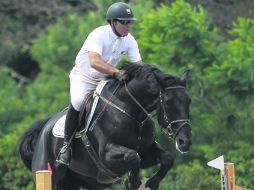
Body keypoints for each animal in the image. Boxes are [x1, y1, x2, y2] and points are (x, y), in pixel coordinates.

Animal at [18, 62, 191, 190]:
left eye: (188, 101)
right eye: (168, 102)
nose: (185, 142)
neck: (132, 111)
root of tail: (43, 128)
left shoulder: (147, 152)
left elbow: (167, 158)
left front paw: (152, 182)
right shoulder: (107, 155)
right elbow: (133, 156)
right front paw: (132, 182)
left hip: (75, 180)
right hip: (49, 173)